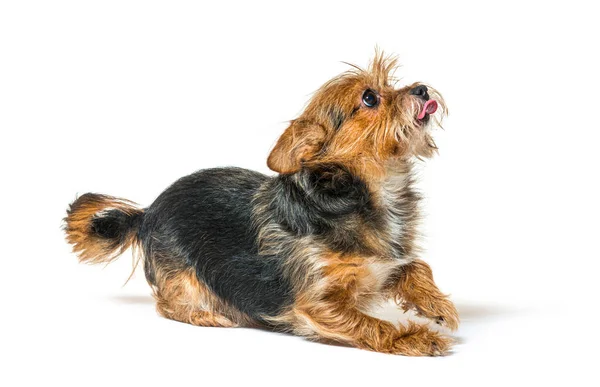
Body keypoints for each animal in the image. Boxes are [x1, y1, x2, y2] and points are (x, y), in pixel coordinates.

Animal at [64, 53, 460, 356]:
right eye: (369, 98)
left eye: (393, 84)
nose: (422, 89)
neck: (371, 193)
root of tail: (147, 212)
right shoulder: (316, 303)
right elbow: (369, 324)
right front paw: (413, 337)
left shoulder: (385, 264)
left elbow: (416, 266)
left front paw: (436, 304)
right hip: (182, 276)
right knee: (168, 302)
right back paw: (205, 314)